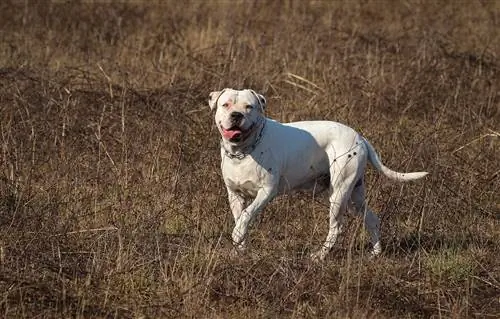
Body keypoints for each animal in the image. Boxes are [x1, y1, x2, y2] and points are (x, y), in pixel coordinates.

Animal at [209, 89, 428, 262]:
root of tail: (360, 137)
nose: (236, 115)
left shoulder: (266, 192)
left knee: (336, 227)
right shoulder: (235, 195)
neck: (243, 151)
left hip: (339, 193)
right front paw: (240, 250)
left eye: (249, 106)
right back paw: (375, 253)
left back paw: (319, 255)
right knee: (371, 218)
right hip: (351, 196)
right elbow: (241, 217)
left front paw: (237, 236)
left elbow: (246, 215)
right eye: (225, 104)